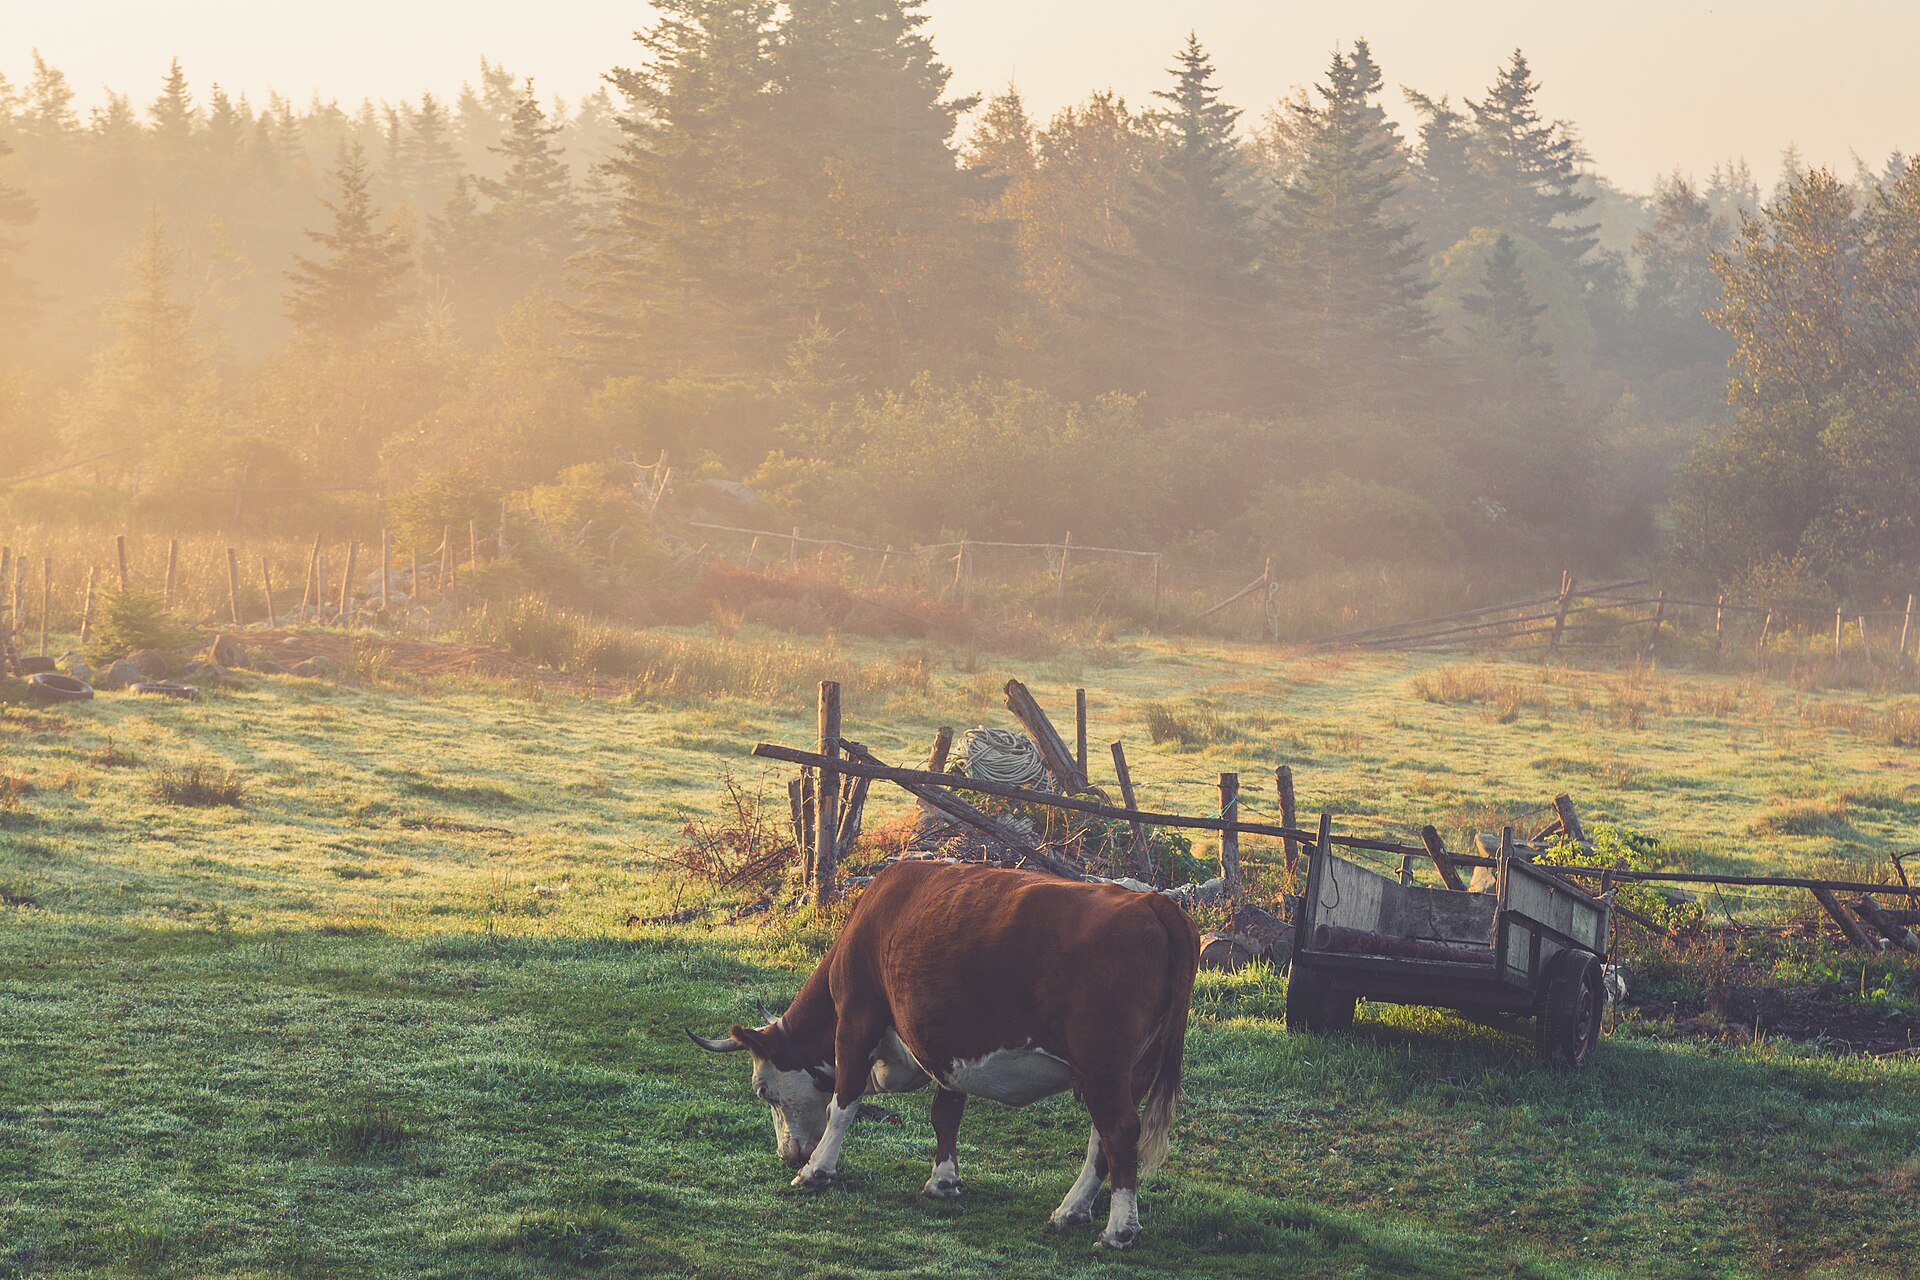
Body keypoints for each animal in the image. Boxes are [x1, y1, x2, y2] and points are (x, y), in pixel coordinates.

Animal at [687, 860, 1200, 1250]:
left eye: (764, 1091)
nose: (790, 1155)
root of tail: (1153, 902)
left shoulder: (857, 1016)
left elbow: (842, 1103)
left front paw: (817, 1172)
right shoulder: (947, 1048)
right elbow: (945, 1113)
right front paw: (944, 1182)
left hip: (1103, 1064)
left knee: (1119, 1131)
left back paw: (1118, 1231)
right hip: (1130, 1069)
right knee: (1104, 1139)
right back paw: (1071, 1211)